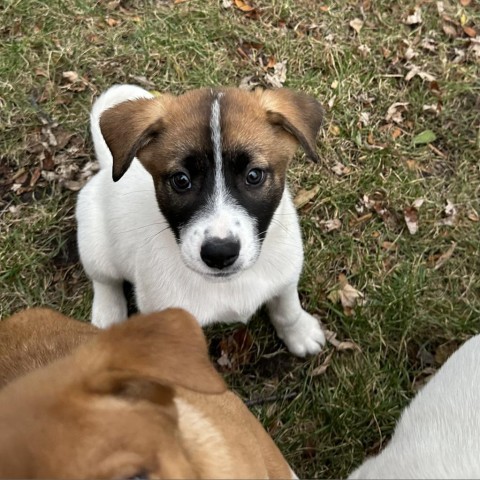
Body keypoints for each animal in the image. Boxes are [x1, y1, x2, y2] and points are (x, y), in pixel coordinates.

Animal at [77, 85, 326, 356]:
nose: (220, 253)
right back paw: (107, 317)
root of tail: (106, 167)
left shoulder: (286, 276)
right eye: (181, 180)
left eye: (254, 175)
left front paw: (300, 333)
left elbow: (288, 310)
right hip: (95, 246)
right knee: (104, 281)